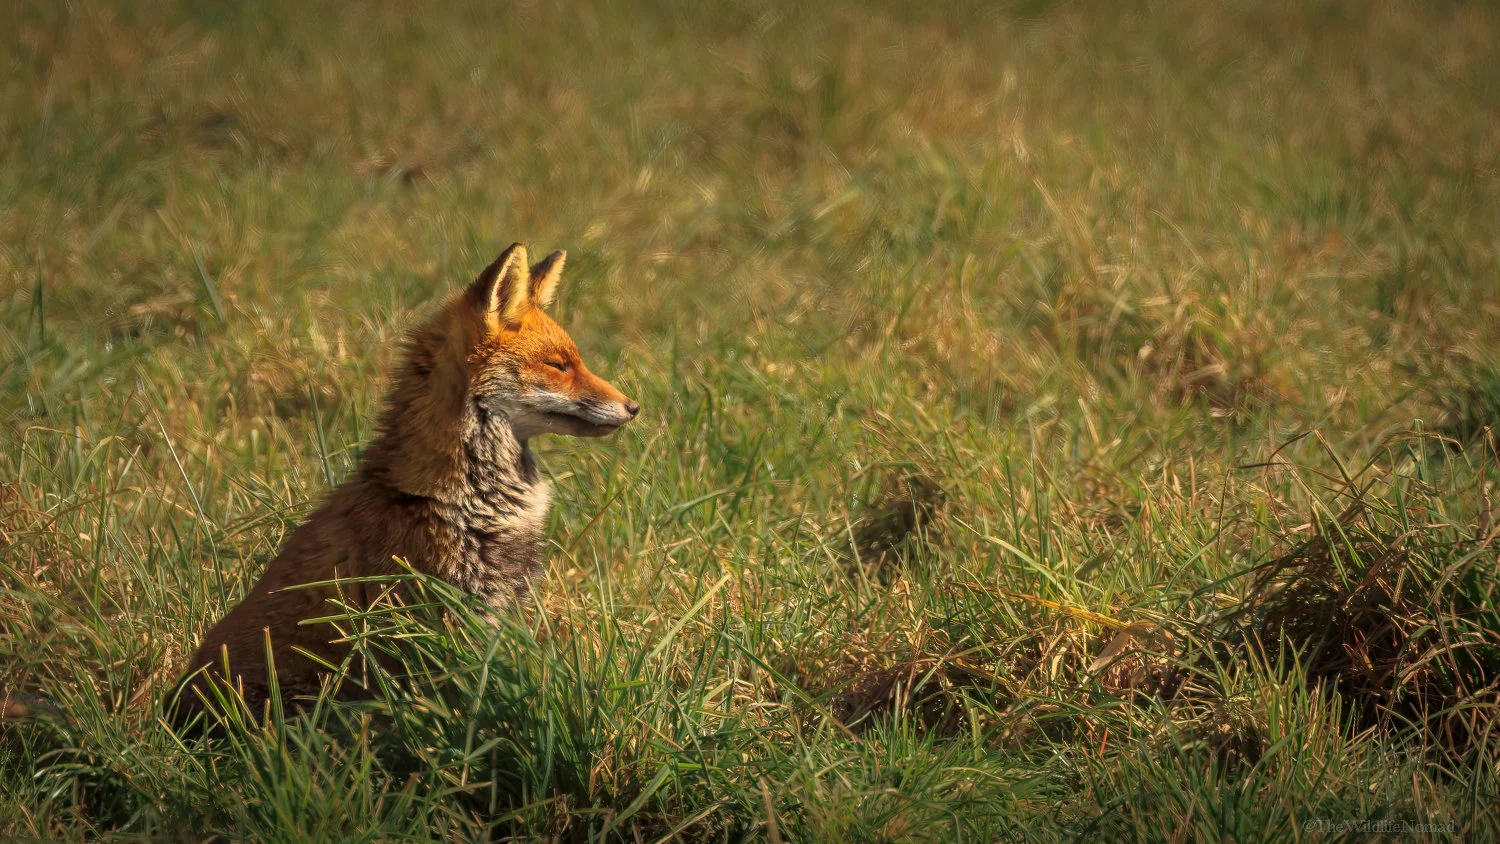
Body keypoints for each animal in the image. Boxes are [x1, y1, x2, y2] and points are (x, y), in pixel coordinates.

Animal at [164, 242, 639, 727]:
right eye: (559, 365)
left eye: (574, 360)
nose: (633, 406)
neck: (466, 499)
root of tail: (173, 712)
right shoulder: (440, 617)